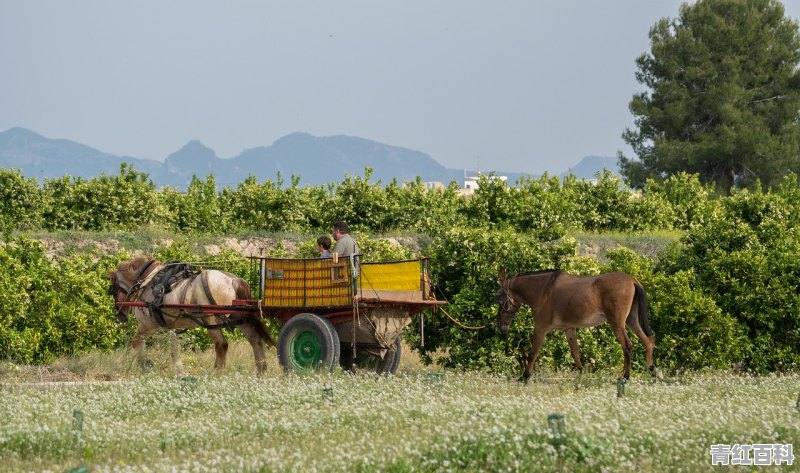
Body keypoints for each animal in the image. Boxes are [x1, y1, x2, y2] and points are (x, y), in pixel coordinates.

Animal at [108, 256, 276, 374]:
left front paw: (145, 365)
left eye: (113, 290)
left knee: (221, 345)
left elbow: (136, 342)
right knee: (255, 339)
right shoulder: (172, 327)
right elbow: (174, 350)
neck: (147, 282)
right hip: (239, 318)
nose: (120, 315)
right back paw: (261, 370)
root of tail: (232, 280)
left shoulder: (147, 324)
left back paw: (216, 372)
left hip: (211, 320)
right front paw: (178, 369)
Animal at [496, 268, 660, 382]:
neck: (544, 289)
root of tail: (632, 280)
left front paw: (525, 376)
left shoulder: (540, 329)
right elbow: (575, 352)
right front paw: (582, 373)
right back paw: (652, 370)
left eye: (499, 299)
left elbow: (533, 353)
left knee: (627, 345)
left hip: (617, 322)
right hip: (631, 320)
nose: (500, 326)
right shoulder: (569, 329)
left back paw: (625, 376)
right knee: (648, 341)